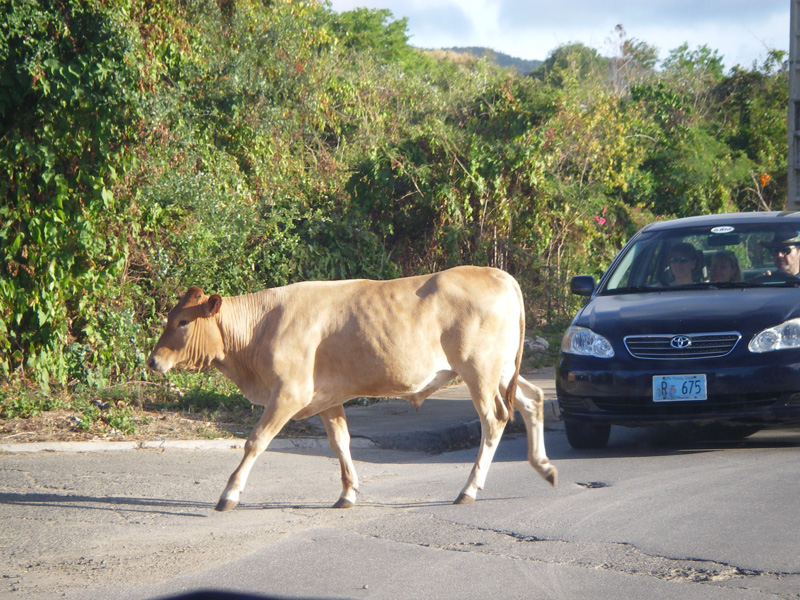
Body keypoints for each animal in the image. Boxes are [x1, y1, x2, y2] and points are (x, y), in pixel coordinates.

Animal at [145, 268, 556, 510]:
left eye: (183, 322)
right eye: (170, 317)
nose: (152, 361)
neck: (260, 328)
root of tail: (498, 274)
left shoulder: (289, 393)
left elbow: (255, 442)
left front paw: (229, 493)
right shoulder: (327, 397)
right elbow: (340, 442)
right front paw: (347, 492)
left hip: (479, 371)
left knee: (495, 421)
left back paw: (469, 489)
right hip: (502, 371)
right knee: (533, 400)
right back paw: (544, 466)